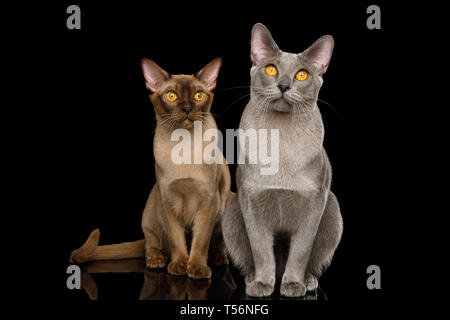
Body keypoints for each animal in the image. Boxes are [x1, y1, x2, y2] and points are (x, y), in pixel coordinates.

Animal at [71, 58, 232, 280]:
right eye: (172, 96)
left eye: (198, 95)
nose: (187, 108)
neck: (183, 146)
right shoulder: (167, 200)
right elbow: (176, 239)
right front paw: (179, 265)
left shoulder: (208, 202)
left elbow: (200, 241)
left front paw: (197, 268)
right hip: (152, 205)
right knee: (150, 245)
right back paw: (157, 261)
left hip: (229, 200)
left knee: (217, 244)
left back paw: (218, 259)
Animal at [222, 23, 344, 298]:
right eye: (271, 69)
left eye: (302, 75)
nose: (284, 85)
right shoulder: (251, 200)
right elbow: (260, 250)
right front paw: (262, 284)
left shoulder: (314, 203)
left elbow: (300, 251)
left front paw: (293, 285)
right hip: (231, 212)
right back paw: (252, 280)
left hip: (333, 210)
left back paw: (307, 282)